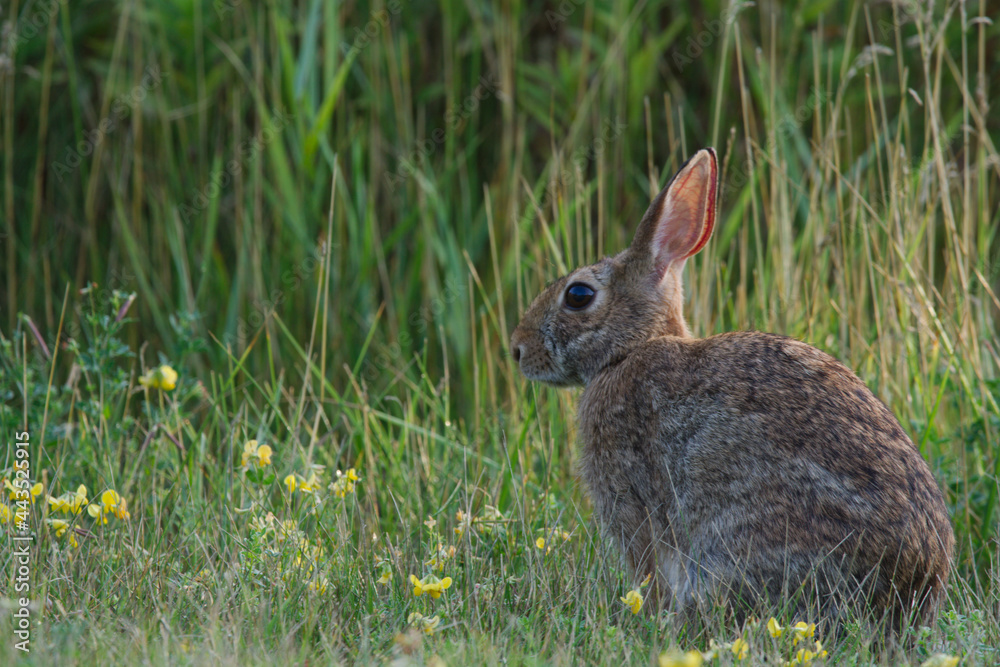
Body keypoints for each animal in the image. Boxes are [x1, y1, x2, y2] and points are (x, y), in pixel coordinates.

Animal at [510, 148, 953, 631]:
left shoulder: (631, 503)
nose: (517, 349)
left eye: (578, 295)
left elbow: (648, 568)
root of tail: (910, 591)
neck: (629, 351)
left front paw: (651, 613)